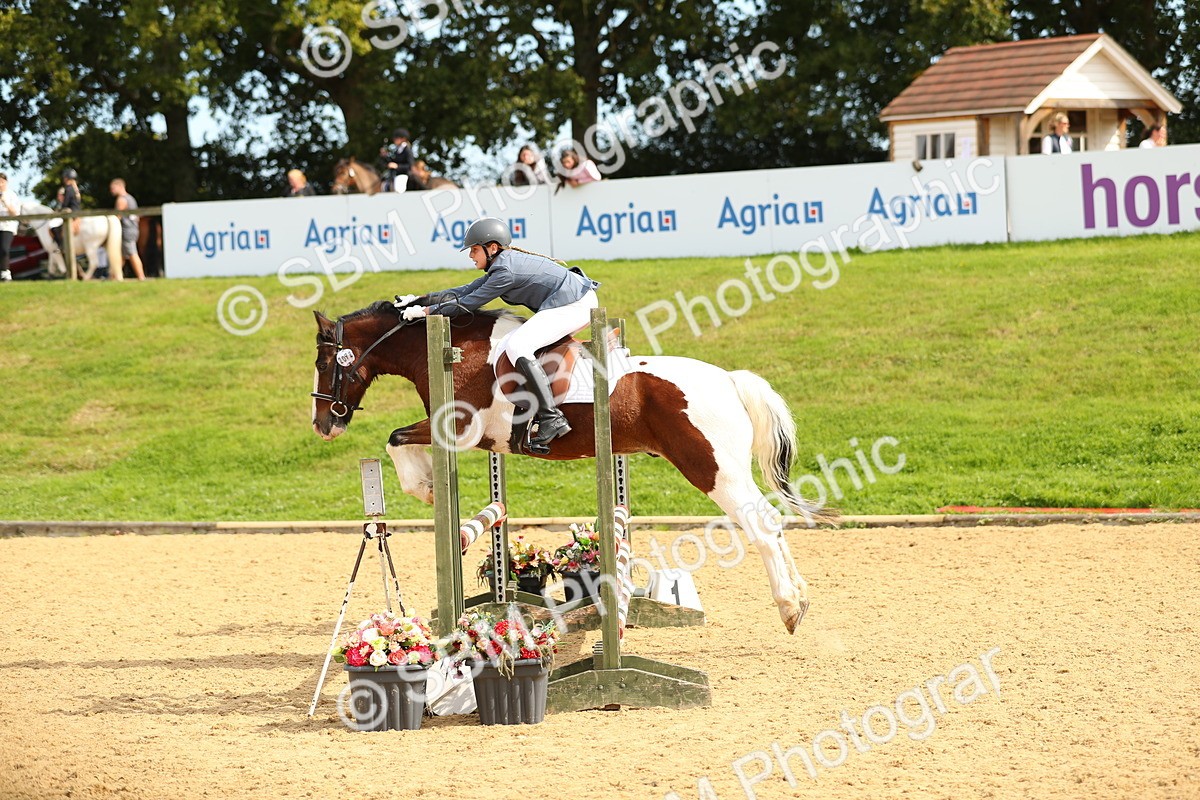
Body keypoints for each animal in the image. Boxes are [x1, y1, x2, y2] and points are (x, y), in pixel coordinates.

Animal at [311, 302, 836, 633]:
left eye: (322, 362)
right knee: (772, 521)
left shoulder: (460, 430)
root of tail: (729, 380)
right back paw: (802, 597)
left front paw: (428, 490)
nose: (322, 425)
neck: (451, 350)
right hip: (726, 470)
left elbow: (396, 438)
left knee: (761, 525)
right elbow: (398, 439)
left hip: (712, 470)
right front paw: (433, 492)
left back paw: (789, 608)